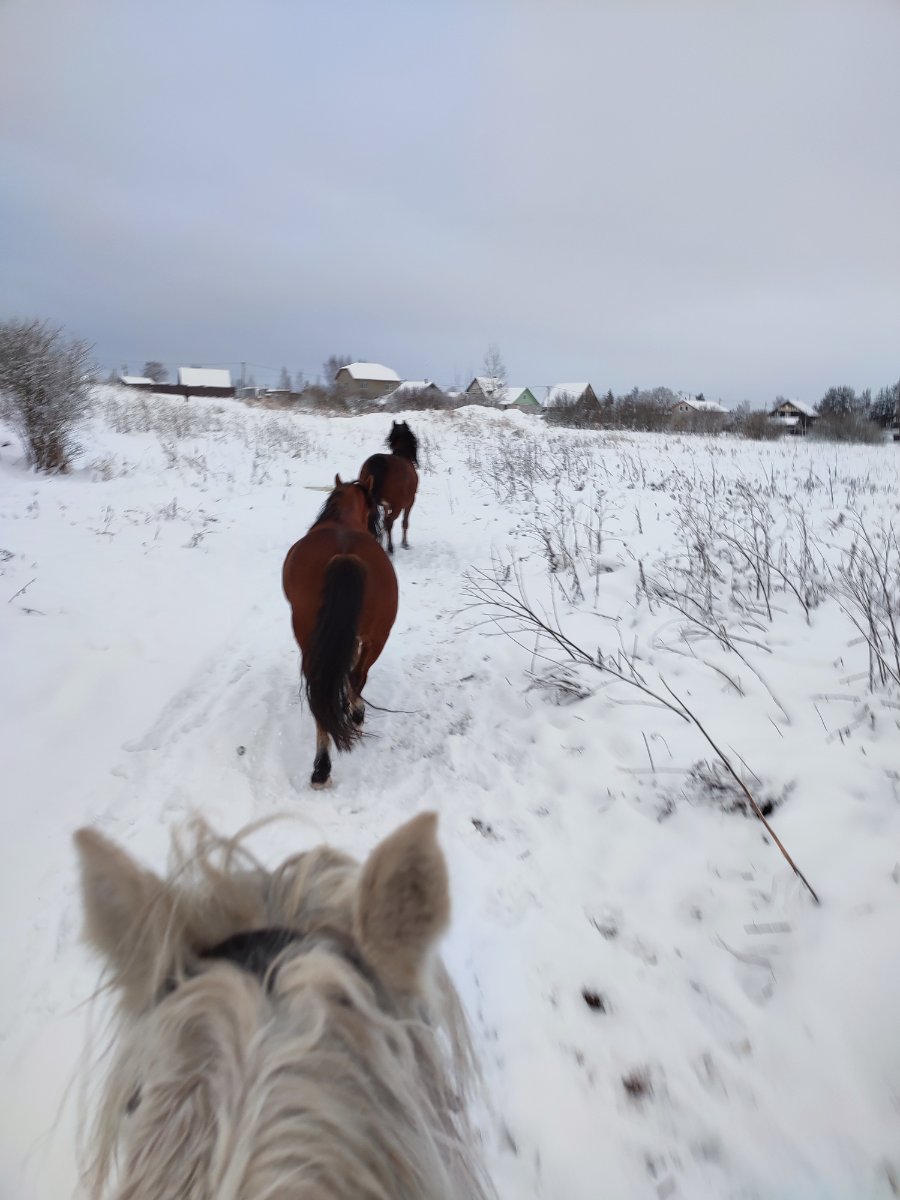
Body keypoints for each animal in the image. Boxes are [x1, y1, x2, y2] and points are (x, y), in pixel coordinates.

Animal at [359, 421, 419, 555]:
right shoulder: (410, 502)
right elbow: (404, 523)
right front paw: (404, 544)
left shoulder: (385, 505)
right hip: (398, 506)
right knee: (388, 522)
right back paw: (390, 548)